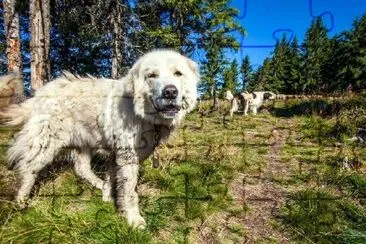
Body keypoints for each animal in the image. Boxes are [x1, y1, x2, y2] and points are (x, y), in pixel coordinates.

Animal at [0, 49, 200, 229]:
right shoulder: (128, 156)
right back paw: (21, 202)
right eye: (151, 75)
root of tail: (38, 95)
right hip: (47, 143)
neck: (143, 115)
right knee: (28, 168)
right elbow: (130, 191)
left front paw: (106, 196)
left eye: (178, 73)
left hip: (84, 141)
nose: (170, 92)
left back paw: (97, 183)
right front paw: (133, 219)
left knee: (81, 168)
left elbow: (112, 177)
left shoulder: (118, 153)